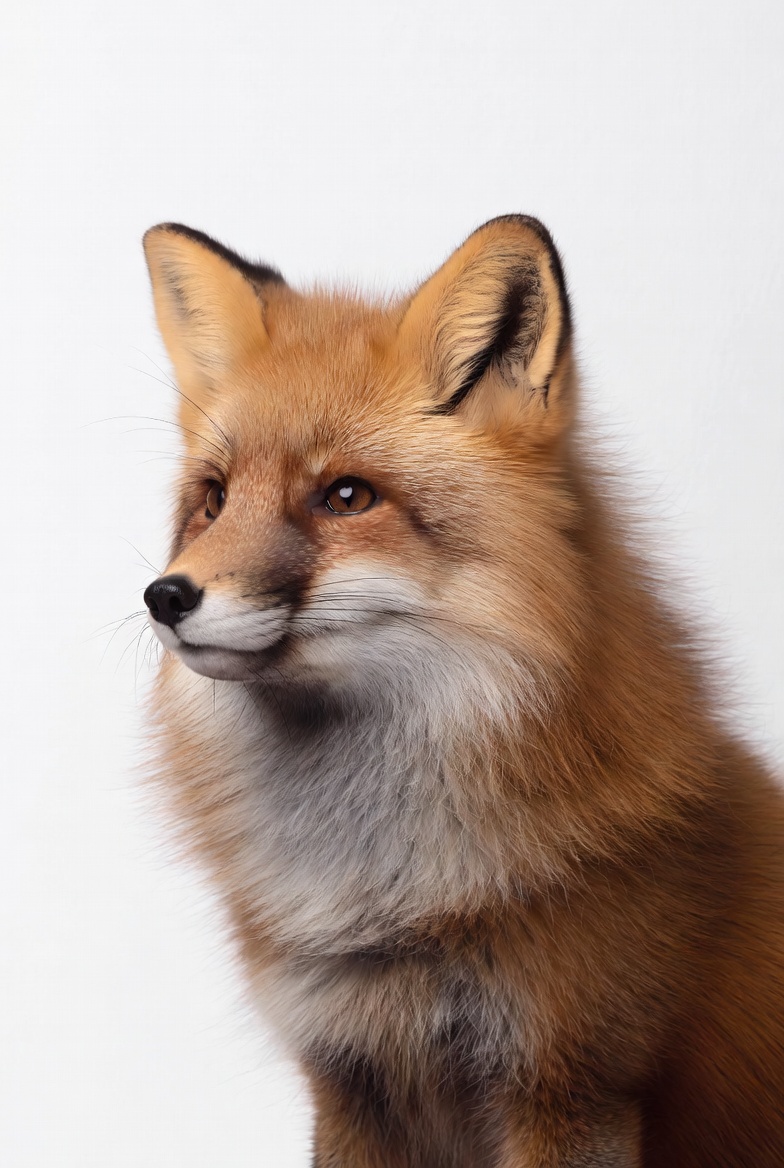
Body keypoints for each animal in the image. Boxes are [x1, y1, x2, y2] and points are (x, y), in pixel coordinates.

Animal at [141, 215, 784, 1167]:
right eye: (214, 501)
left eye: (346, 496)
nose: (166, 597)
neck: (388, 903)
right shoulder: (350, 1079)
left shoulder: (573, 1082)